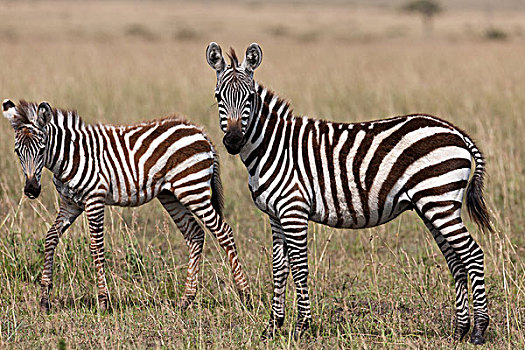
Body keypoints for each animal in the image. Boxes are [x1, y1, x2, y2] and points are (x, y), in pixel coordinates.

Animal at [1, 100, 250, 314]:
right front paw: (44, 300)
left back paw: (244, 295)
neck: (70, 157)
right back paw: (185, 301)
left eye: (42, 149)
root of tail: (200, 132)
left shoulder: (94, 199)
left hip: (193, 189)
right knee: (195, 234)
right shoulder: (70, 204)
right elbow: (50, 238)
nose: (32, 190)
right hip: (172, 195)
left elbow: (96, 248)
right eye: (17, 152)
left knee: (224, 232)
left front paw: (103, 302)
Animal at [207, 41, 494, 344]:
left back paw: (478, 330)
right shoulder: (275, 215)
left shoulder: (293, 210)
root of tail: (456, 132)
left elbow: (299, 266)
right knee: (455, 259)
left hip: (439, 201)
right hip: (433, 205)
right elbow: (279, 268)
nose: (233, 141)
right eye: (218, 97)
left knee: (472, 254)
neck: (273, 147)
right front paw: (273, 326)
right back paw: (459, 329)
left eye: (250, 97)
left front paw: (301, 326)